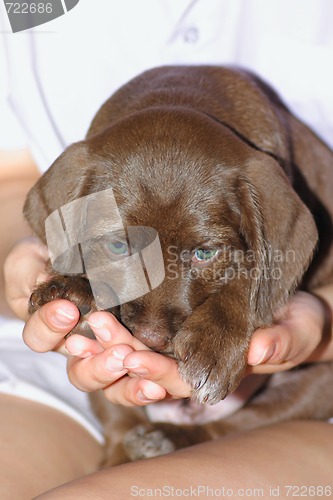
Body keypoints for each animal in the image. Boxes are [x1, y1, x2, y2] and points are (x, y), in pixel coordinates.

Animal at [24, 66, 332, 464]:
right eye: (117, 245)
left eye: (204, 254)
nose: (150, 340)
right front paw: (73, 288)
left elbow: (251, 274)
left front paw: (213, 343)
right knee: (119, 426)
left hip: (318, 385)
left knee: (226, 428)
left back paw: (167, 438)